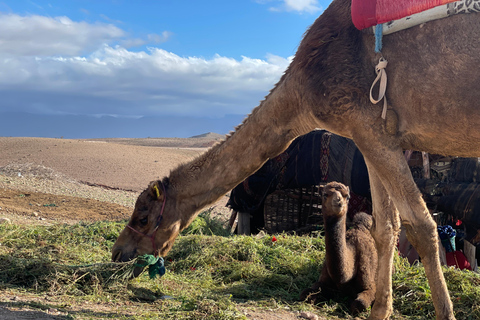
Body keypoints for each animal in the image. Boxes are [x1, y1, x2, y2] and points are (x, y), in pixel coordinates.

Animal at [300, 181, 378, 314]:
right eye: (325, 194)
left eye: (347, 196)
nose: (338, 201)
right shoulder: (324, 280)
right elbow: (305, 294)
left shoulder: (370, 285)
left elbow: (359, 303)